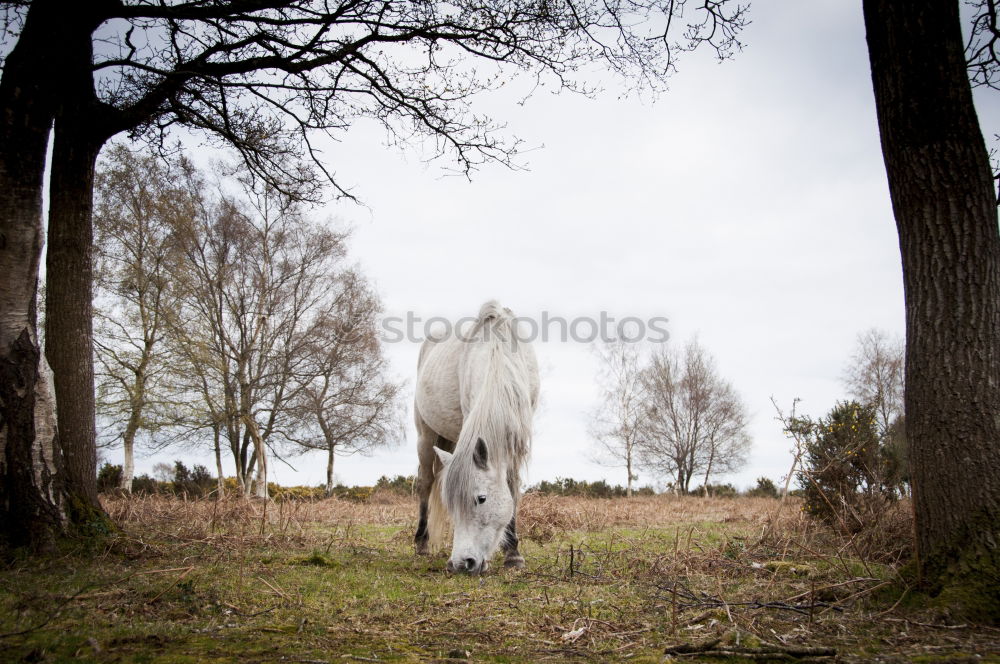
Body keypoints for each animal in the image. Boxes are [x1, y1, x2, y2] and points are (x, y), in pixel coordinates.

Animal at [414, 300, 540, 572]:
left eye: (481, 499)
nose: (462, 564)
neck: (498, 353)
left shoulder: (517, 439)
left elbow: (512, 485)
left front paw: (513, 553)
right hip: (425, 435)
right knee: (425, 482)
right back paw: (421, 543)